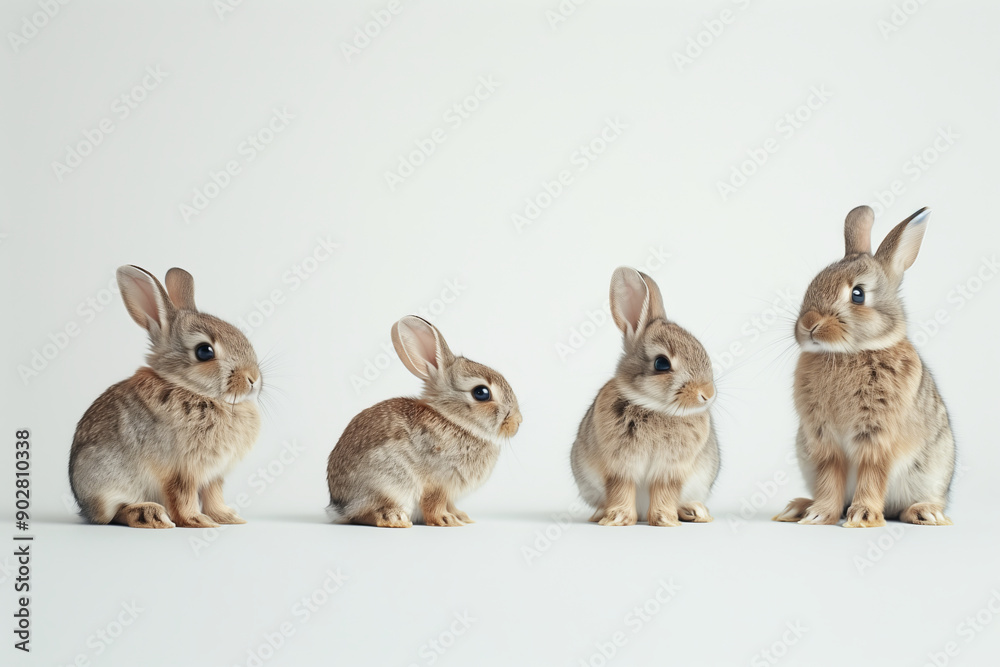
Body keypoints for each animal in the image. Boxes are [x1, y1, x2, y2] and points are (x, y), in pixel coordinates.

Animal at [69, 265, 262, 529]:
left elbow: (214, 496)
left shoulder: (213, 474)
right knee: (114, 514)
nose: (253, 379)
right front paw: (198, 521)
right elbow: (183, 497)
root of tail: (84, 505)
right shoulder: (181, 470)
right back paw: (149, 515)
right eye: (204, 351)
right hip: (106, 485)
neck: (194, 391)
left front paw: (228, 518)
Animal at [327, 315, 521, 527]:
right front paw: (446, 520)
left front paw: (461, 516)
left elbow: (450, 504)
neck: (454, 421)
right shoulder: (438, 482)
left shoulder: (449, 492)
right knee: (363, 514)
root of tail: (340, 505)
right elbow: (434, 503)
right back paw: (394, 518)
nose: (517, 422)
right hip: (388, 483)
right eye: (481, 393)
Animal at [570, 267, 720, 526]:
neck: (654, 408)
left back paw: (694, 512)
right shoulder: (619, 468)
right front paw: (617, 518)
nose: (707, 394)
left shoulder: (670, 471)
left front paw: (665, 520)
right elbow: (621, 489)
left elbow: (664, 493)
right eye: (662, 363)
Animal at [774, 206, 956, 527]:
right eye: (813, 284)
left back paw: (926, 512)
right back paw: (797, 508)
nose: (809, 324)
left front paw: (863, 516)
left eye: (858, 294)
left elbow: (872, 472)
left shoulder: (876, 435)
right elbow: (830, 476)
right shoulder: (823, 439)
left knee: (907, 508)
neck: (848, 353)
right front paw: (819, 514)